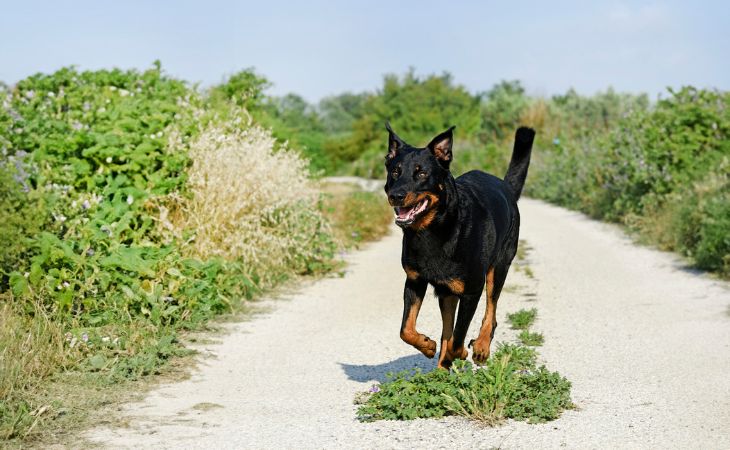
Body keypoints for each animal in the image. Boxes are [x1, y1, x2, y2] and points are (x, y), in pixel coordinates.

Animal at [384, 124, 532, 370]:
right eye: (395, 172)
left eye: (421, 173)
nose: (396, 195)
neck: (434, 229)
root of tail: (506, 187)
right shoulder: (414, 281)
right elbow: (406, 329)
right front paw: (427, 345)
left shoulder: (472, 291)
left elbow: (458, 336)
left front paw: (461, 351)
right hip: (448, 292)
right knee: (447, 328)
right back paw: (441, 367)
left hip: (498, 267)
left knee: (491, 311)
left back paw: (481, 347)